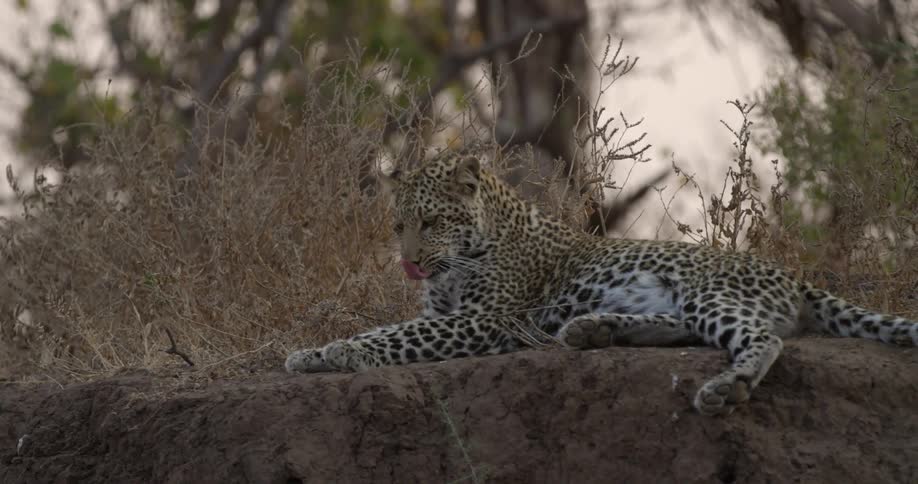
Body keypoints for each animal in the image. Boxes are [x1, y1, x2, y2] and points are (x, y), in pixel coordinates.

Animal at [285, 151, 918, 416]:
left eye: (432, 222)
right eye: (398, 226)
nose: (409, 263)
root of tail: (793, 275)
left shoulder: (487, 319)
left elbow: (393, 338)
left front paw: (342, 351)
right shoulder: (440, 312)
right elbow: (390, 326)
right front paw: (311, 353)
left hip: (710, 291)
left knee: (763, 339)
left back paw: (725, 389)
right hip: (689, 302)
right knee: (684, 329)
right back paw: (592, 330)